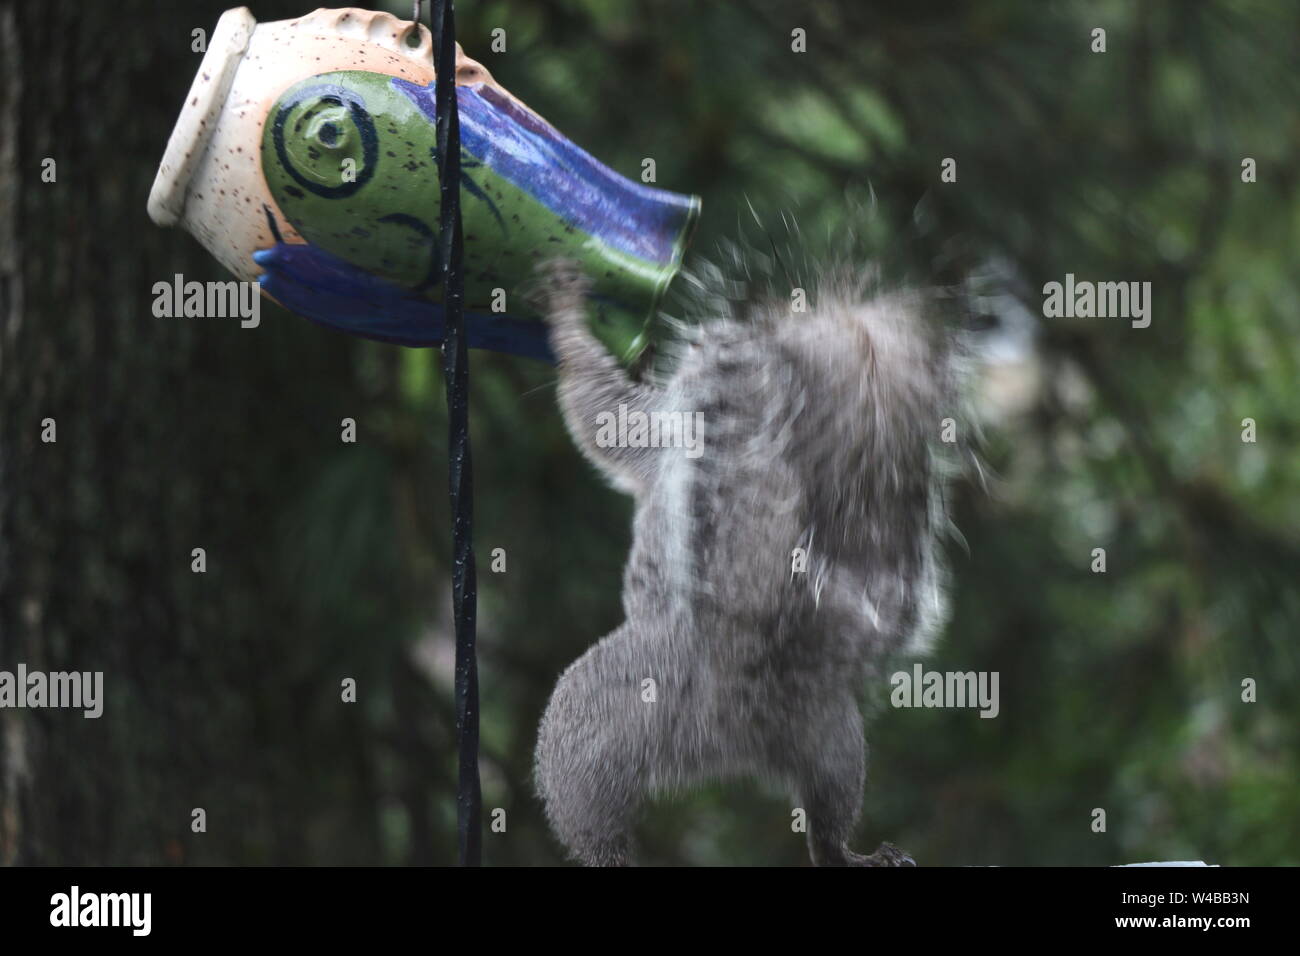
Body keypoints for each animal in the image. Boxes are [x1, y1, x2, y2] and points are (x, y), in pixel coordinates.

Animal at [532, 258, 959, 866]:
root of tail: (731, 703)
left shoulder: (650, 431)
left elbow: (597, 405)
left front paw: (566, 313)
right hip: (829, 731)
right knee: (829, 812)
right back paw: (854, 853)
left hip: (598, 714)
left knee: (589, 810)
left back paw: (606, 856)